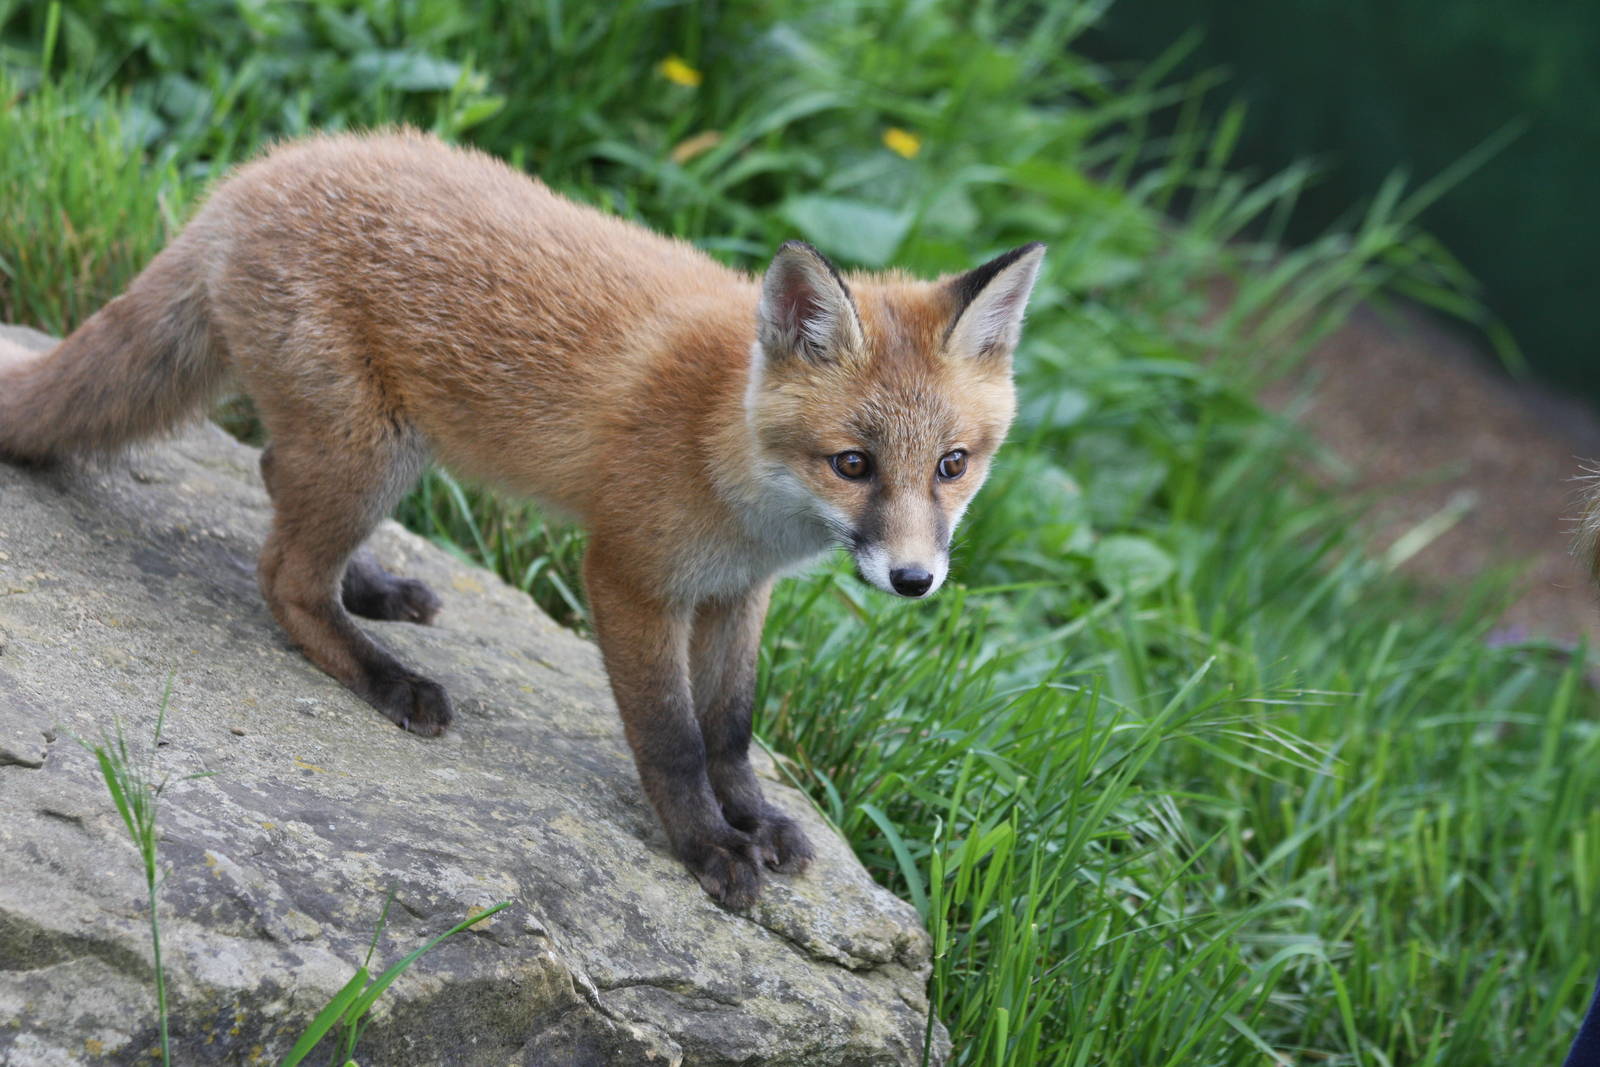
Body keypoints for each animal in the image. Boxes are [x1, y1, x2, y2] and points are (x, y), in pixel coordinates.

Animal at [0, 129, 1043, 908]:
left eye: (952, 466)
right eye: (853, 464)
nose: (914, 579)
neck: (729, 452)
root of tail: (252, 173)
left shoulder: (736, 594)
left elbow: (731, 728)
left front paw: (752, 817)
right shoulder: (628, 577)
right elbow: (672, 739)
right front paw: (706, 846)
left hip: (368, 451)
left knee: (272, 487)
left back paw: (371, 586)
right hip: (372, 453)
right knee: (282, 577)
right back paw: (385, 675)